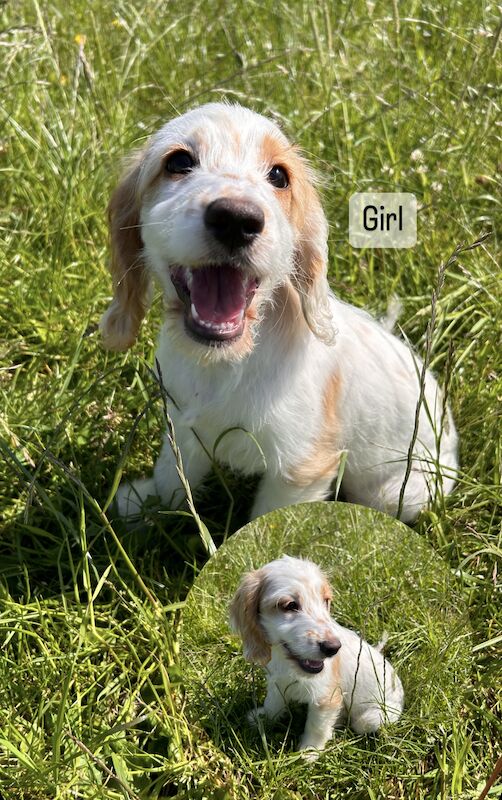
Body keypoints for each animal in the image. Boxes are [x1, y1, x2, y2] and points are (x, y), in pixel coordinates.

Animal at [100, 101, 456, 524]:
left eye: (279, 176)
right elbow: (173, 472)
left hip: (396, 492)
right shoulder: (184, 426)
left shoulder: (300, 468)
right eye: (179, 161)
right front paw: (149, 505)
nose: (237, 219)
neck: (227, 362)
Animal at [230, 556, 404, 756]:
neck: (289, 663)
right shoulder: (277, 681)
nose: (333, 648)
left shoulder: (326, 696)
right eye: (290, 605)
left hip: (371, 718)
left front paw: (309, 752)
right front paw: (264, 718)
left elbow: (316, 726)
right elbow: (273, 702)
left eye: (326, 601)